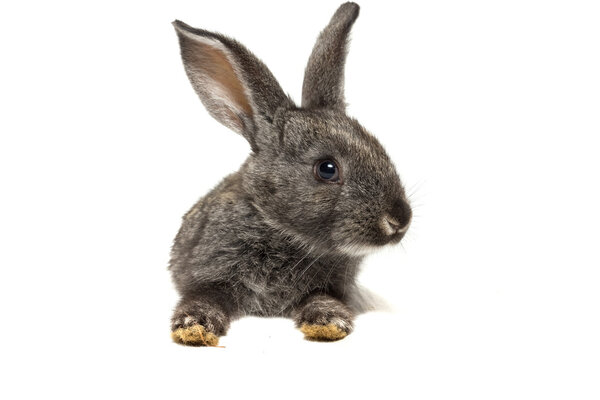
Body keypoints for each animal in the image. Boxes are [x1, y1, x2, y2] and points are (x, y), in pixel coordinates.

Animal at [169, 0, 412, 346]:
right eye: (327, 169)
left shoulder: (332, 287)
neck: (278, 229)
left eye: (379, 148)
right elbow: (203, 297)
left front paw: (328, 323)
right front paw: (194, 327)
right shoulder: (207, 275)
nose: (399, 220)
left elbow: (322, 299)